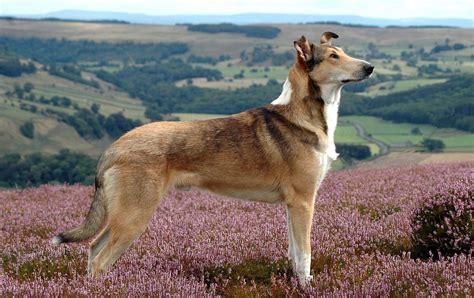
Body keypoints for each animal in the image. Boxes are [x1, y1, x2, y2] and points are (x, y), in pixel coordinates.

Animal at [53, 32, 372, 284]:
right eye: (333, 56)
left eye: (342, 52)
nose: (370, 67)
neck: (304, 114)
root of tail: (113, 148)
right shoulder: (304, 200)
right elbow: (305, 253)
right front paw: (306, 287)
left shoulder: (292, 205)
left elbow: (294, 252)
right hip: (135, 215)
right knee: (100, 259)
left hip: (123, 214)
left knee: (93, 248)